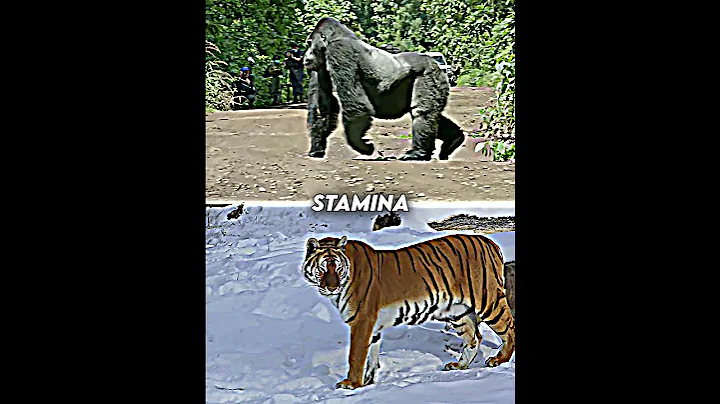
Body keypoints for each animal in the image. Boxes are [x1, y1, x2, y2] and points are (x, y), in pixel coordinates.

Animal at [302, 234, 515, 390]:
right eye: (322, 269)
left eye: (337, 268)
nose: (331, 288)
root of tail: (490, 242)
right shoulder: (372, 327)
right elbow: (371, 357)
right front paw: (367, 384)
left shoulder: (362, 321)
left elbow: (356, 355)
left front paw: (351, 384)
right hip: (457, 312)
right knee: (474, 338)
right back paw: (458, 366)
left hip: (488, 301)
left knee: (509, 327)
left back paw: (498, 359)